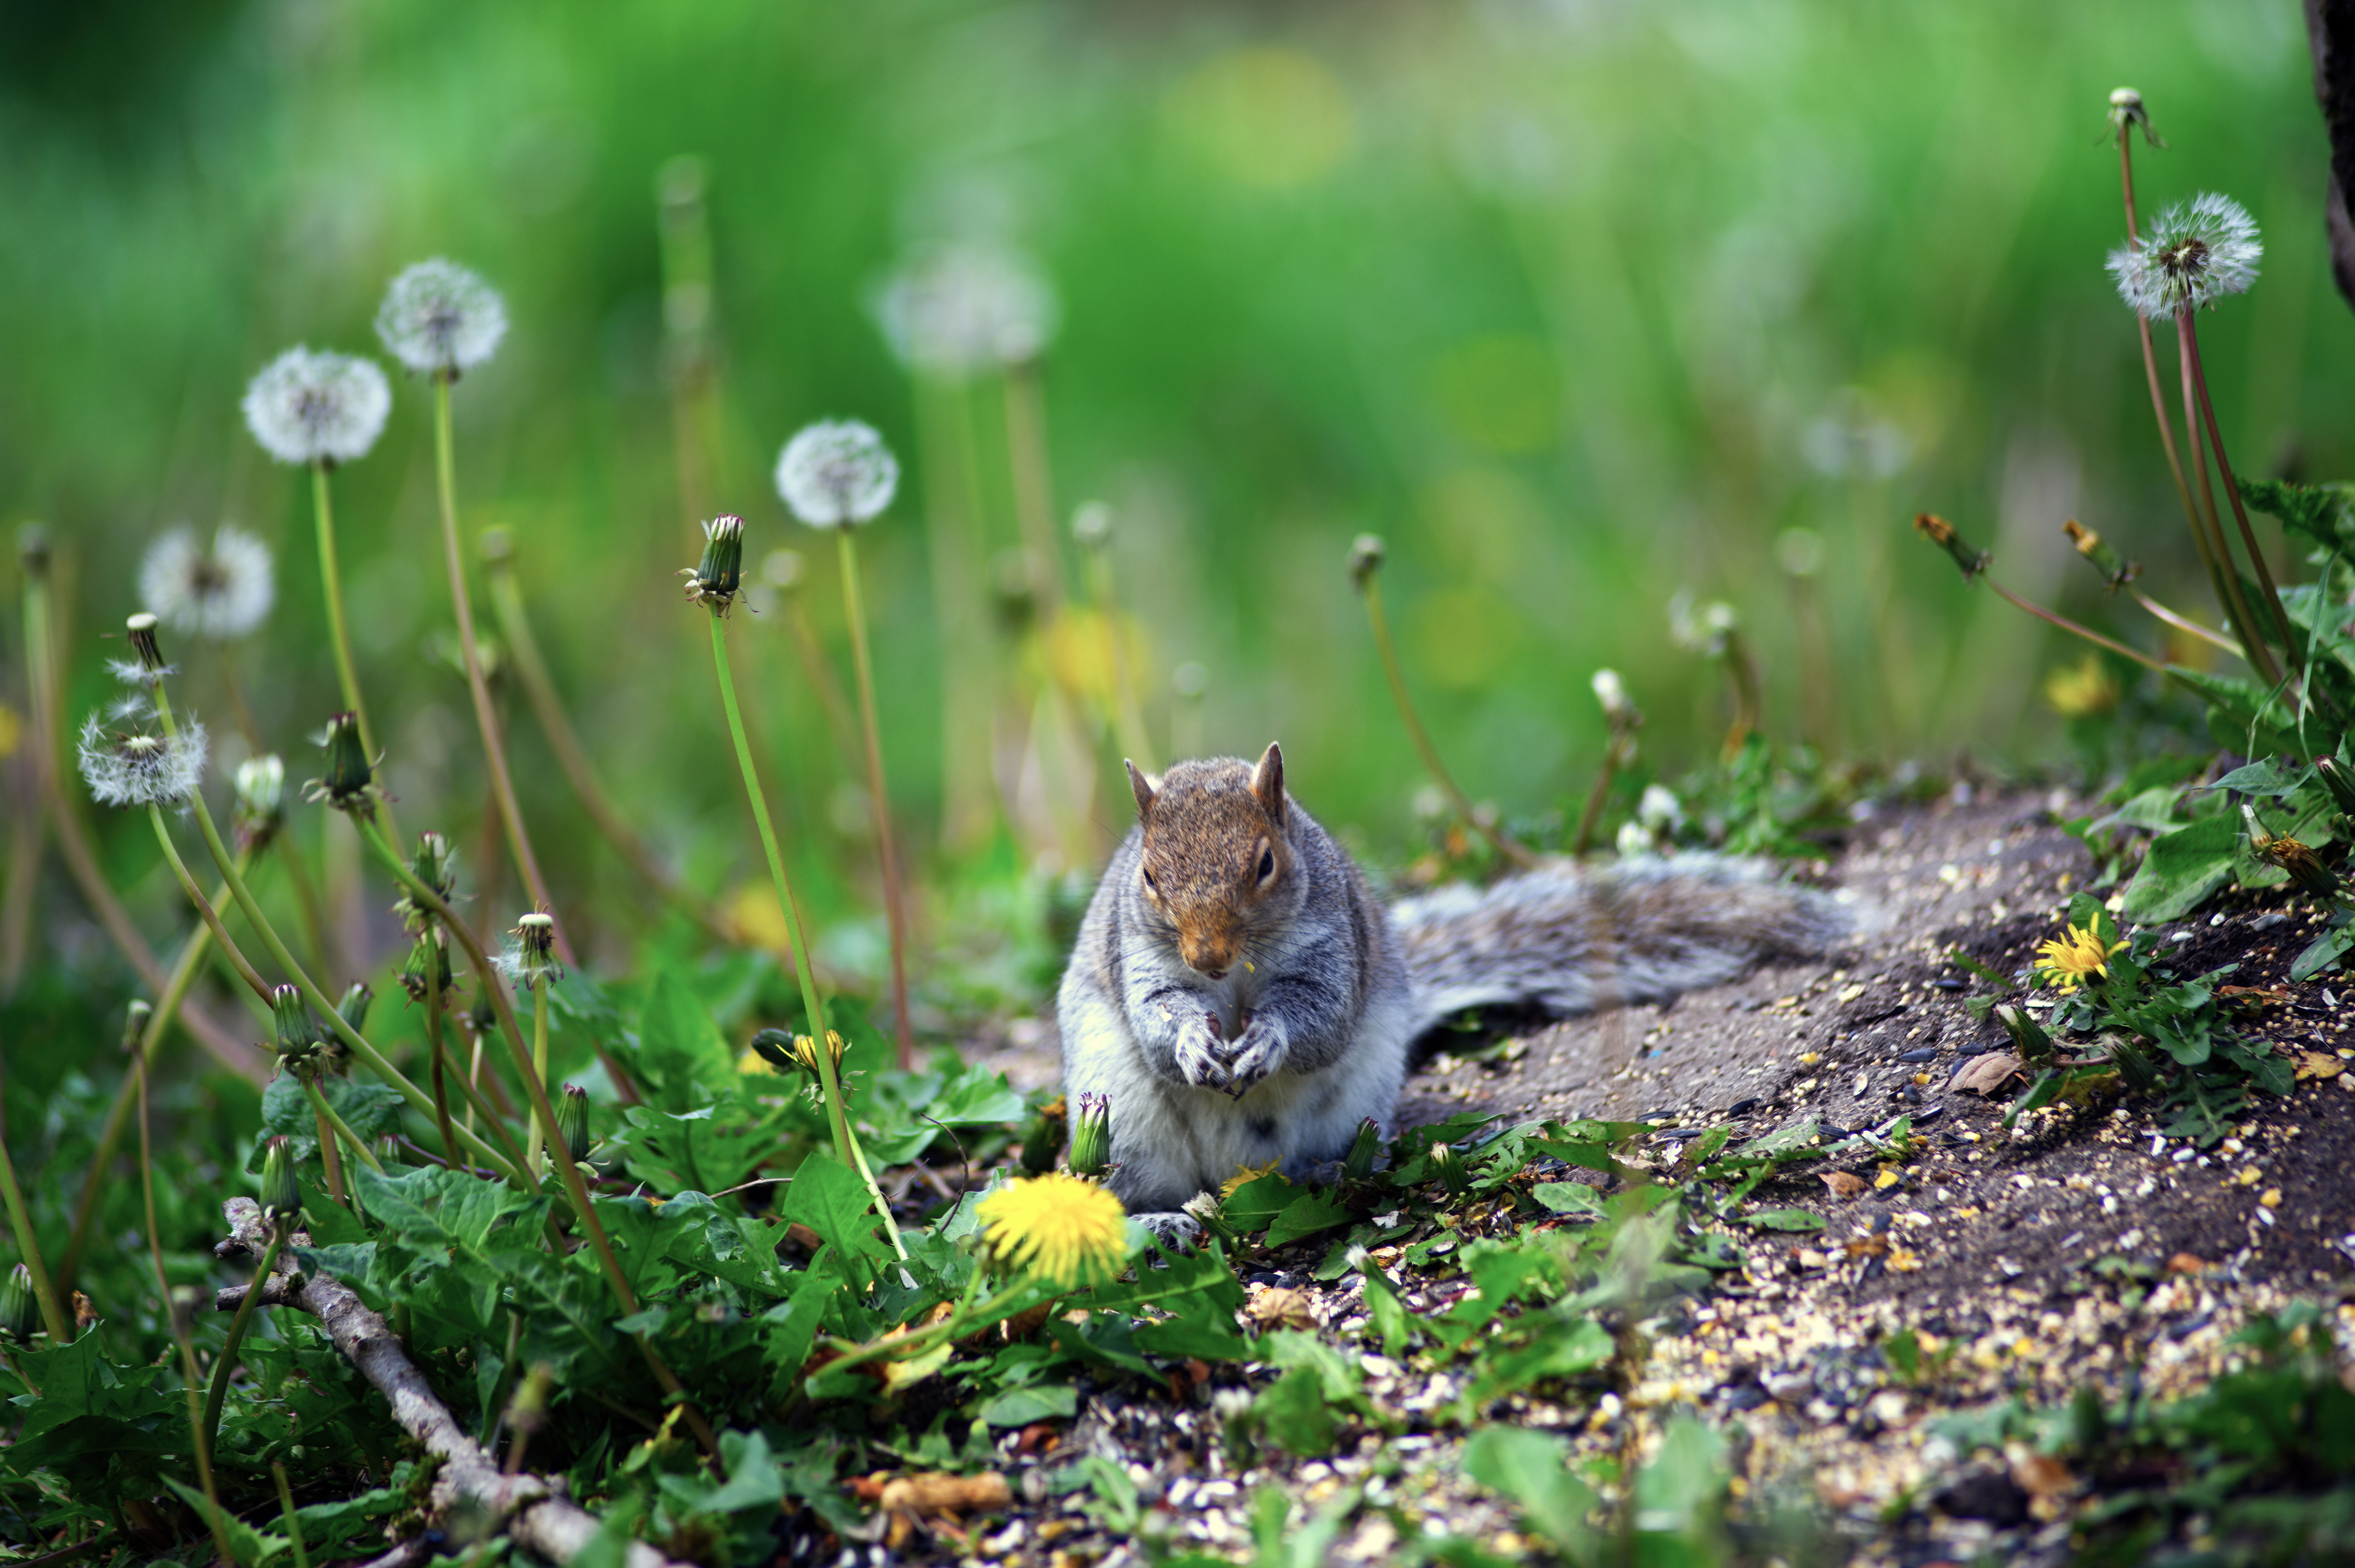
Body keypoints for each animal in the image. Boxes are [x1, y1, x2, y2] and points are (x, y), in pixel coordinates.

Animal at [1057, 743, 1860, 1240]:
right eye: (1148, 876)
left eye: (1264, 864)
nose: (1209, 956)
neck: (1238, 981)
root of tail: (1230, 1183)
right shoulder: (1139, 960)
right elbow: (1158, 1017)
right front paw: (1195, 1040)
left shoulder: (1335, 946)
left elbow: (1321, 1017)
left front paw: (1269, 1041)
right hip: (1125, 1120)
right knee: (1126, 1192)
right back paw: (1160, 1224)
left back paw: (1325, 1170)